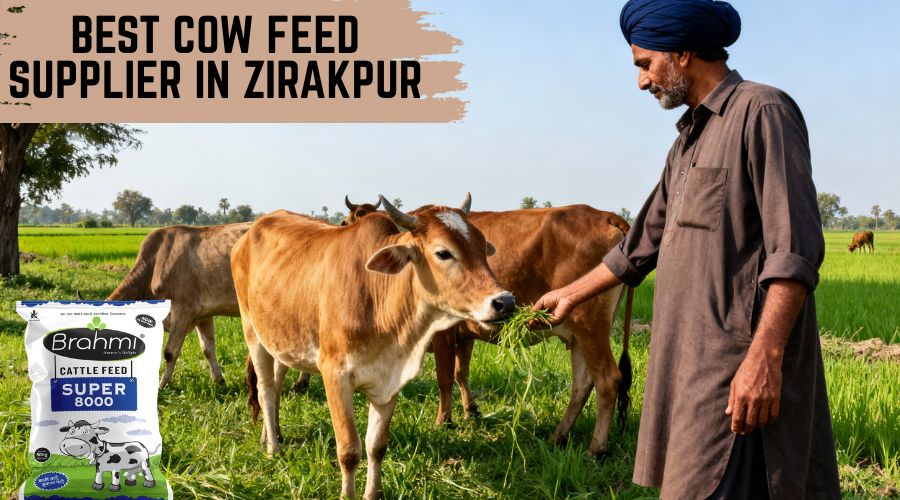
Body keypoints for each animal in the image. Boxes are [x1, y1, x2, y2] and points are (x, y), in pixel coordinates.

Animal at [107, 223, 251, 388]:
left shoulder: (182, 309)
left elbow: (170, 352)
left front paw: (163, 385)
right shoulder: (204, 314)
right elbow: (208, 348)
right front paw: (218, 380)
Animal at [233, 195, 514, 499]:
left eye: (482, 247)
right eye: (443, 253)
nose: (505, 302)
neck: (377, 297)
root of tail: (249, 232)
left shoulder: (390, 380)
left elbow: (376, 446)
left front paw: (373, 493)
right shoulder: (335, 375)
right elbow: (349, 450)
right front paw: (347, 494)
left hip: (282, 342)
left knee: (275, 386)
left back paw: (270, 435)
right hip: (252, 333)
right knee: (266, 390)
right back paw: (273, 448)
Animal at [307, 199, 634, 456]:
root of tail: (606, 215)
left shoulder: (442, 334)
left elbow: (444, 377)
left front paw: (444, 420)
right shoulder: (466, 335)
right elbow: (461, 373)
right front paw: (470, 411)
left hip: (590, 326)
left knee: (607, 379)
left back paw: (596, 448)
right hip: (578, 333)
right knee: (583, 383)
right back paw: (559, 435)